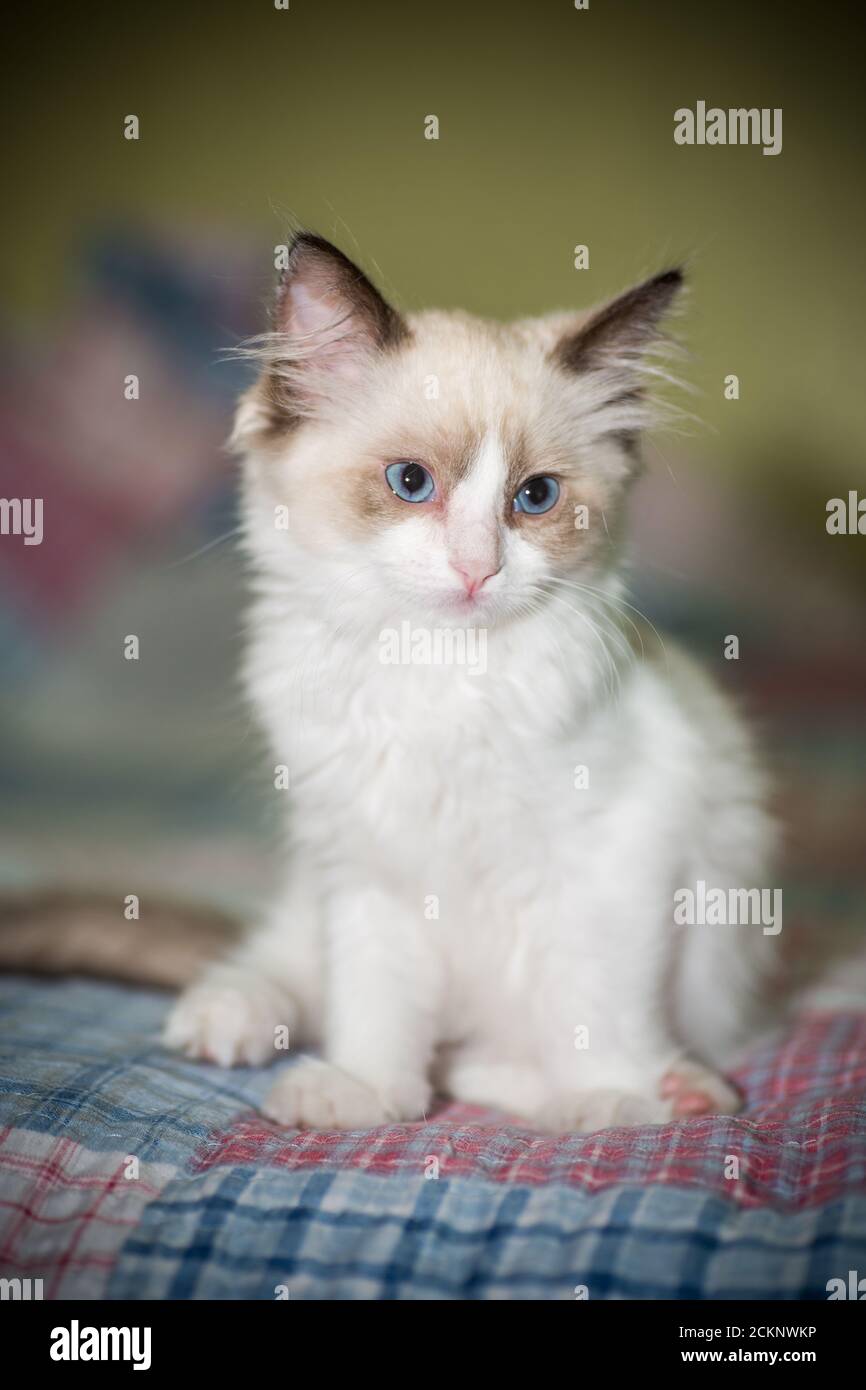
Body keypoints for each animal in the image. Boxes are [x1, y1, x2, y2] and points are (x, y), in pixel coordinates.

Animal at [162, 236, 778, 1128]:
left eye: (536, 497)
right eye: (411, 483)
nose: (477, 568)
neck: (437, 676)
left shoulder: (617, 852)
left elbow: (593, 1005)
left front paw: (610, 1101)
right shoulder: (368, 872)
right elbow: (375, 1003)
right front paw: (367, 1093)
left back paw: (669, 1089)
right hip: (315, 879)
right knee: (284, 964)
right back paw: (228, 1020)